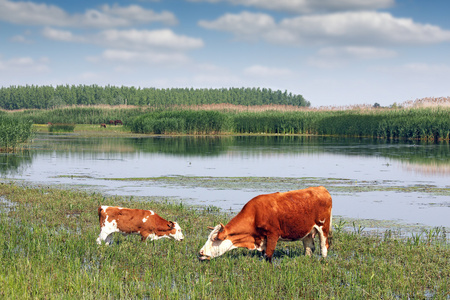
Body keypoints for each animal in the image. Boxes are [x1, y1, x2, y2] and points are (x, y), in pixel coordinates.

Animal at [199, 186, 332, 262]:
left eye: (214, 239)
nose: (200, 252)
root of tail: (321, 188)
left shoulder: (273, 235)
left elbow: (268, 256)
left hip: (323, 227)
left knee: (324, 247)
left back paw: (323, 261)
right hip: (307, 231)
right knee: (309, 248)